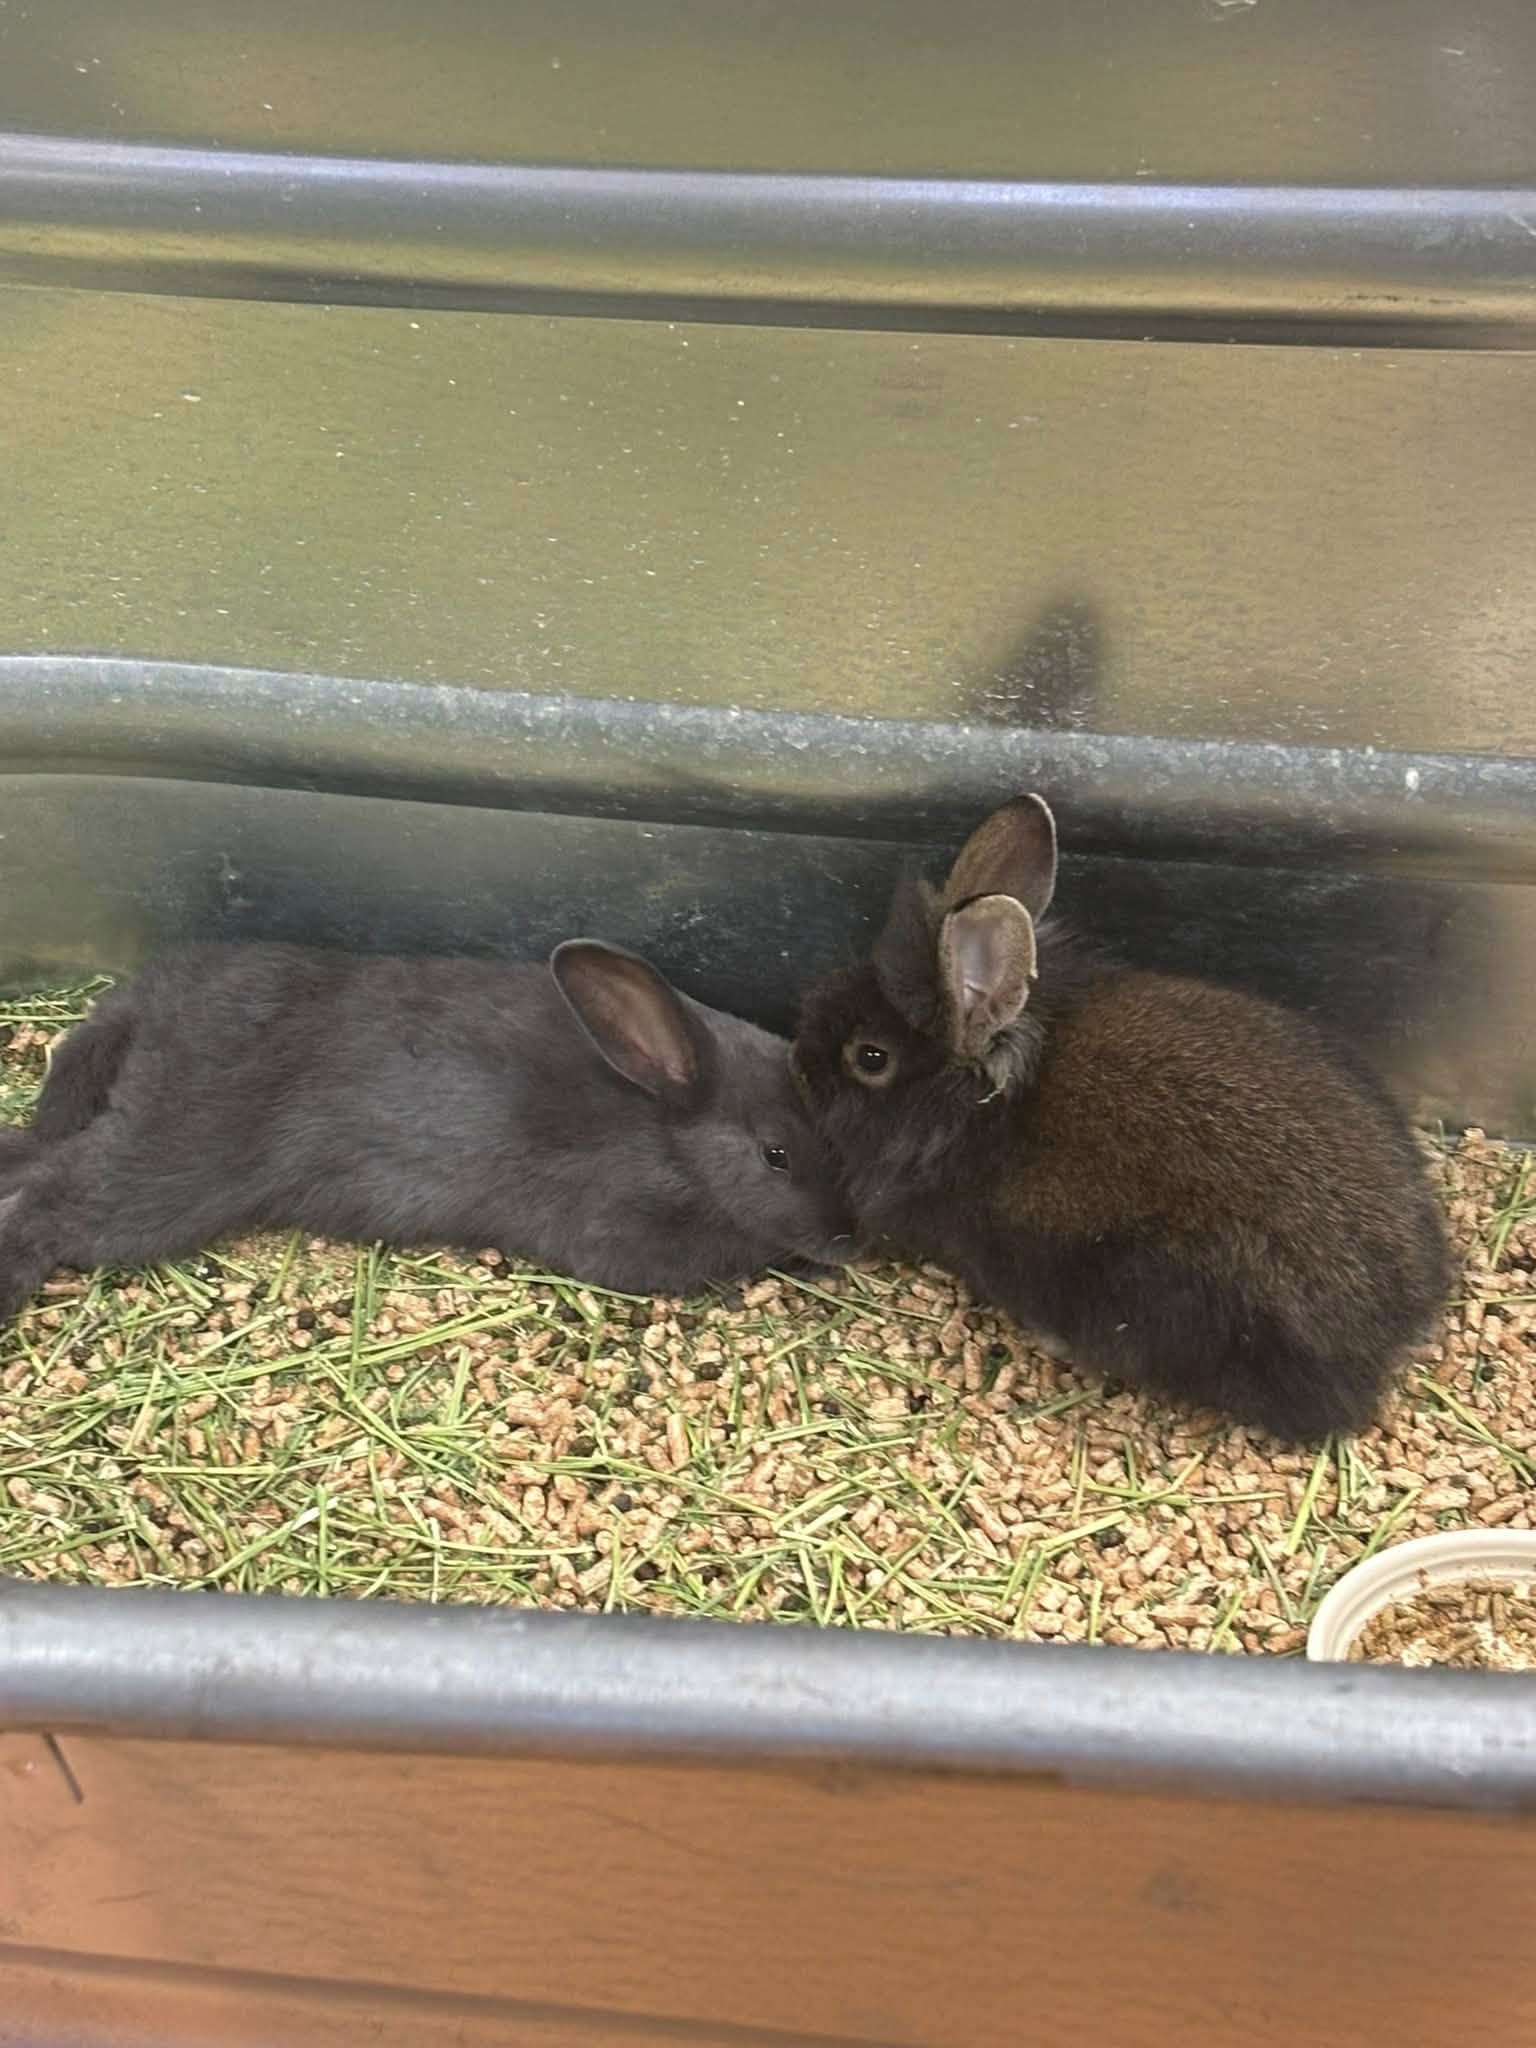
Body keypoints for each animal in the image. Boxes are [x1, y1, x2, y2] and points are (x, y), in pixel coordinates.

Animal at [0, 937, 853, 1324]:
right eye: (776, 1155)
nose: (851, 1243)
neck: (669, 1137)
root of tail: (147, 1007)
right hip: (168, 1167)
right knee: (50, 1202)